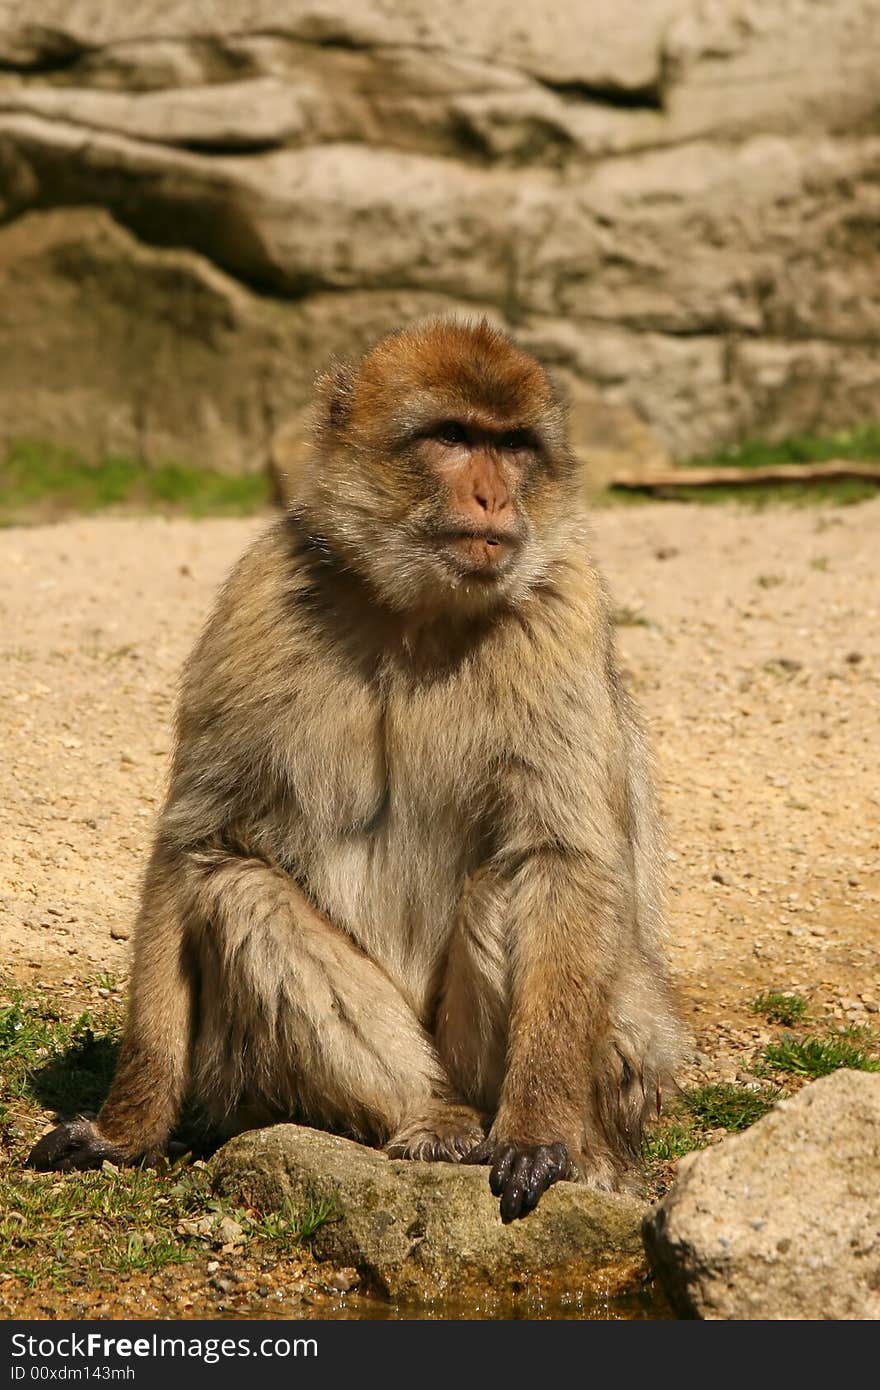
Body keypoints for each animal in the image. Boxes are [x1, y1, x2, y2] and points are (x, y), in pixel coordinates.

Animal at [25, 319, 672, 1223]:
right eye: (452, 437)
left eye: (513, 446)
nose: (493, 498)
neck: (418, 612)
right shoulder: (261, 596)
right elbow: (196, 844)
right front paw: (125, 1132)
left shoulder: (564, 608)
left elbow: (560, 858)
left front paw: (540, 1131)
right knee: (239, 890)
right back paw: (431, 1118)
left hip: (621, 1059)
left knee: (510, 884)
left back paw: (534, 1136)